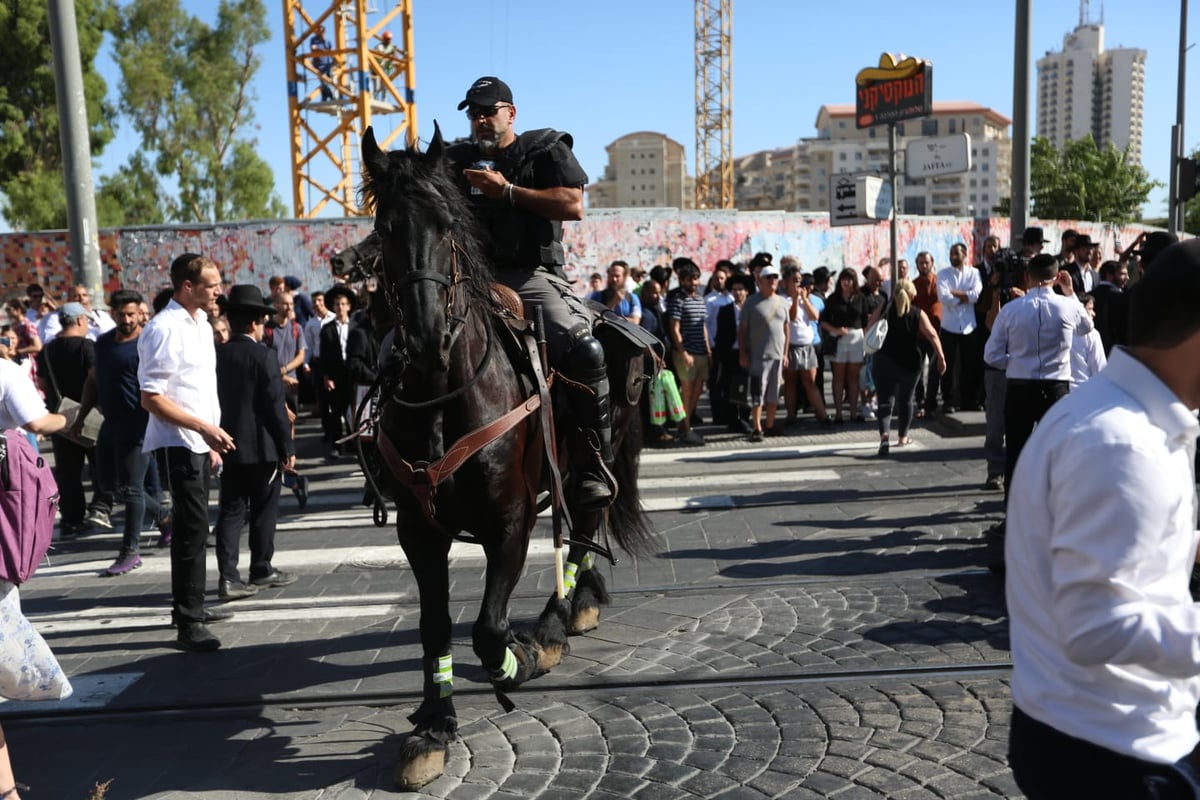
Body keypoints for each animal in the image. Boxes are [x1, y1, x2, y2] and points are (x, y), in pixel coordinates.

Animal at [357, 125, 657, 786]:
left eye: (447, 223)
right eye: (385, 226)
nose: (424, 337)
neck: (446, 390)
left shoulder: (508, 523)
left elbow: (489, 629)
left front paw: (518, 656)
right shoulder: (419, 530)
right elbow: (436, 624)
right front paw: (434, 727)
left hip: (597, 445)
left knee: (588, 511)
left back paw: (554, 621)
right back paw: (579, 602)